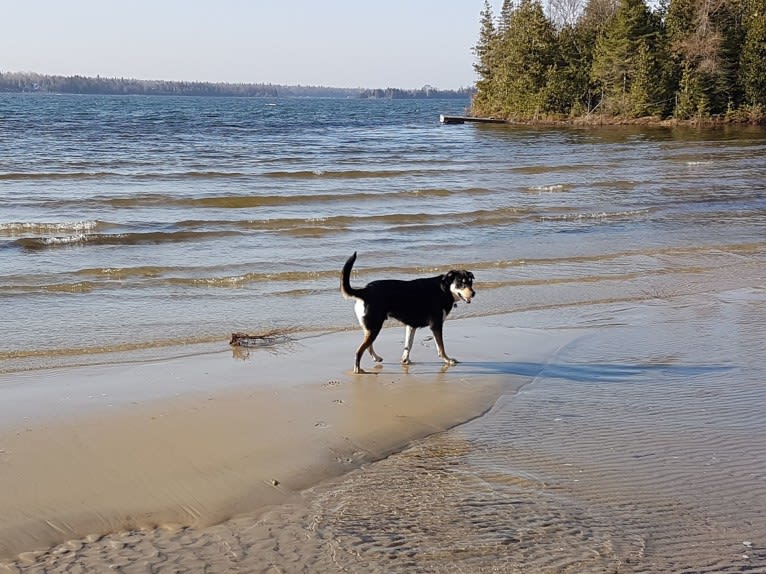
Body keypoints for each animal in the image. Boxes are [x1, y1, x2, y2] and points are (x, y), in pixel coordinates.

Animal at [340, 252, 474, 374]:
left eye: (470, 282)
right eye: (461, 283)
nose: (473, 293)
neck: (445, 289)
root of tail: (365, 290)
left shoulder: (411, 325)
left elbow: (408, 345)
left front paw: (405, 361)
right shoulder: (436, 325)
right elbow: (441, 347)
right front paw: (447, 360)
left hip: (371, 327)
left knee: (367, 346)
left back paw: (375, 358)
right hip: (374, 326)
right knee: (359, 350)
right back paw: (358, 369)